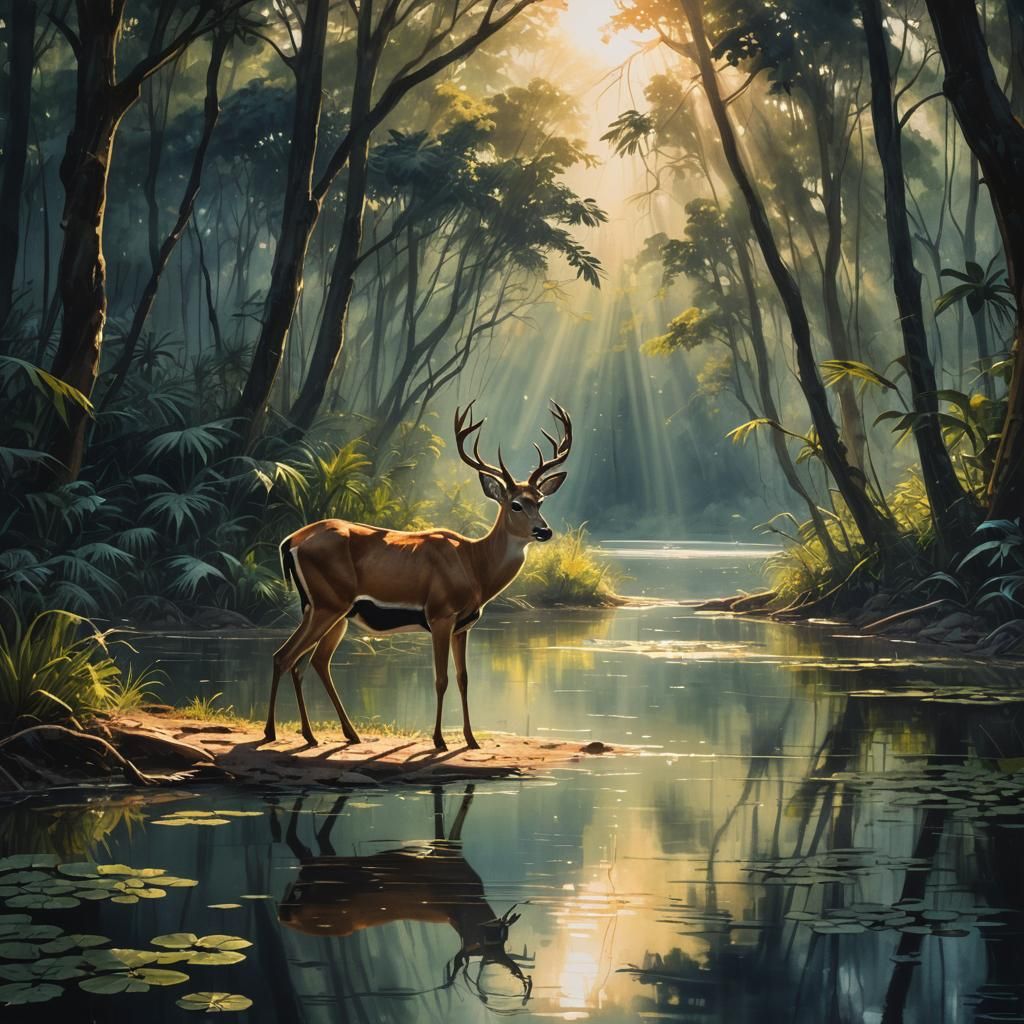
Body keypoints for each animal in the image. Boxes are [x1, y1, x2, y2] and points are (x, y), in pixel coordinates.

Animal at [265, 401, 573, 750]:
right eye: (516, 504)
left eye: (541, 501)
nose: (544, 531)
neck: (474, 566)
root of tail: (290, 541)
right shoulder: (440, 614)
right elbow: (441, 679)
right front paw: (439, 739)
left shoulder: (464, 626)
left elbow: (464, 679)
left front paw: (471, 739)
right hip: (328, 603)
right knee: (286, 656)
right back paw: (273, 732)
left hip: (328, 609)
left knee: (310, 661)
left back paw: (328, 734)